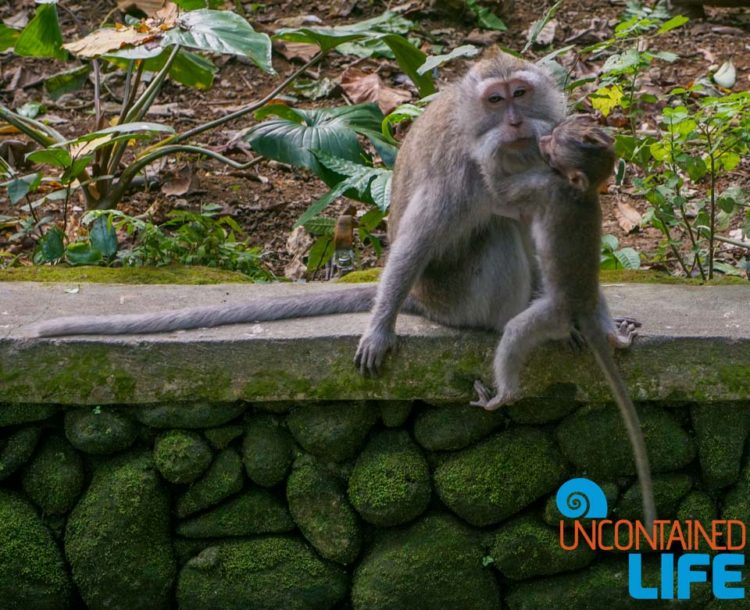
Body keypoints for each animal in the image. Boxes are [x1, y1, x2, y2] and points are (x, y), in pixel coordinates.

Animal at [478, 115, 656, 528]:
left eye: (554, 144)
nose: (542, 137)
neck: (584, 191)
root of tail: (581, 310)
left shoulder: (545, 185)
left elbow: (500, 195)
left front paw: (492, 146)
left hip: (552, 315)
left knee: (516, 333)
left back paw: (501, 397)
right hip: (594, 300)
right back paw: (617, 339)